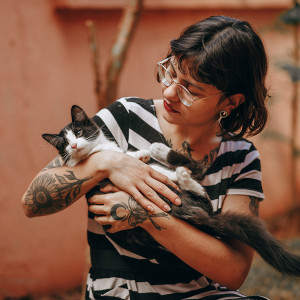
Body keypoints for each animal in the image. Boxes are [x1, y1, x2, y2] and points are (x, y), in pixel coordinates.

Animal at [42, 105, 300, 276]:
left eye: (79, 133)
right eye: (65, 145)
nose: (75, 145)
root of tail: (202, 219)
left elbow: (122, 153)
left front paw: (138, 153)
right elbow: (113, 157)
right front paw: (134, 155)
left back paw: (161, 154)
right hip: (181, 197)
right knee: (200, 189)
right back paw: (177, 170)